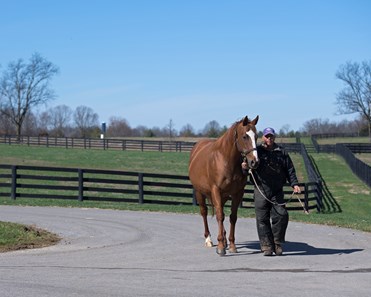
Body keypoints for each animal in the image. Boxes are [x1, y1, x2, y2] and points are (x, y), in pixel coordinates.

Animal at [189, 115, 258, 254]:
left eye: (257, 136)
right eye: (245, 136)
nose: (254, 162)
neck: (225, 160)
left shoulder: (237, 193)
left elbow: (232, 217)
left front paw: (231, 245)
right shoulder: (215, 190)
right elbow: (220, 216)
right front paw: (220, 247)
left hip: (224, 196)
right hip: (200, 192)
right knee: (204, 212)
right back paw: (209, 239)